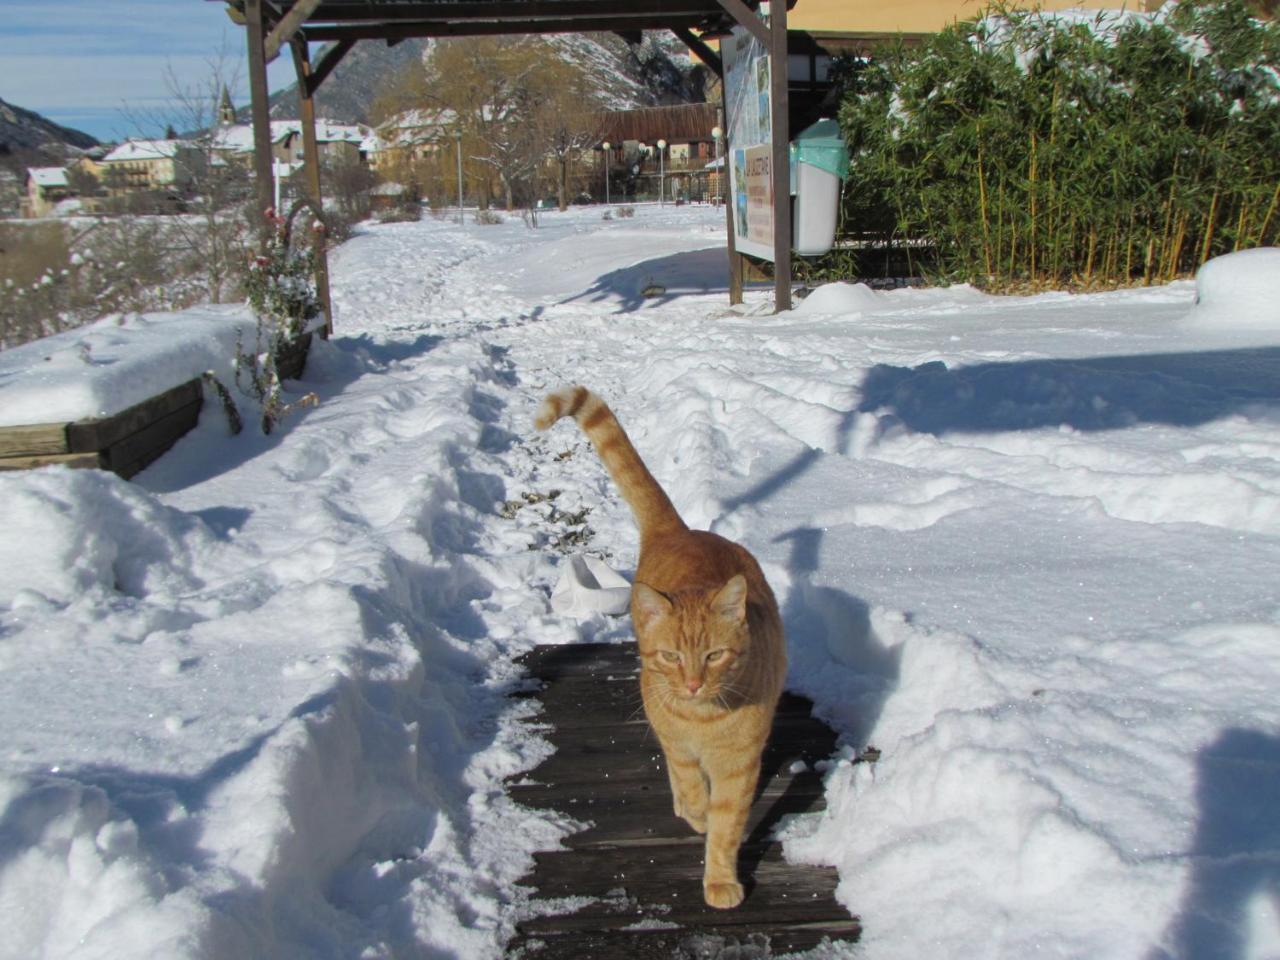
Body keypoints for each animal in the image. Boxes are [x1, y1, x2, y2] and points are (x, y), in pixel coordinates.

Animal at [532, 384, 788, 911]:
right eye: (671, 656)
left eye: (714, 656)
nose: (691, 685)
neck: (703, 720)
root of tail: (681, 531)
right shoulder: (670, 729)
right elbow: (687, 778)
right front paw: (695, 811)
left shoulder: (739, 765)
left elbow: (727, 825)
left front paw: (720, 877)